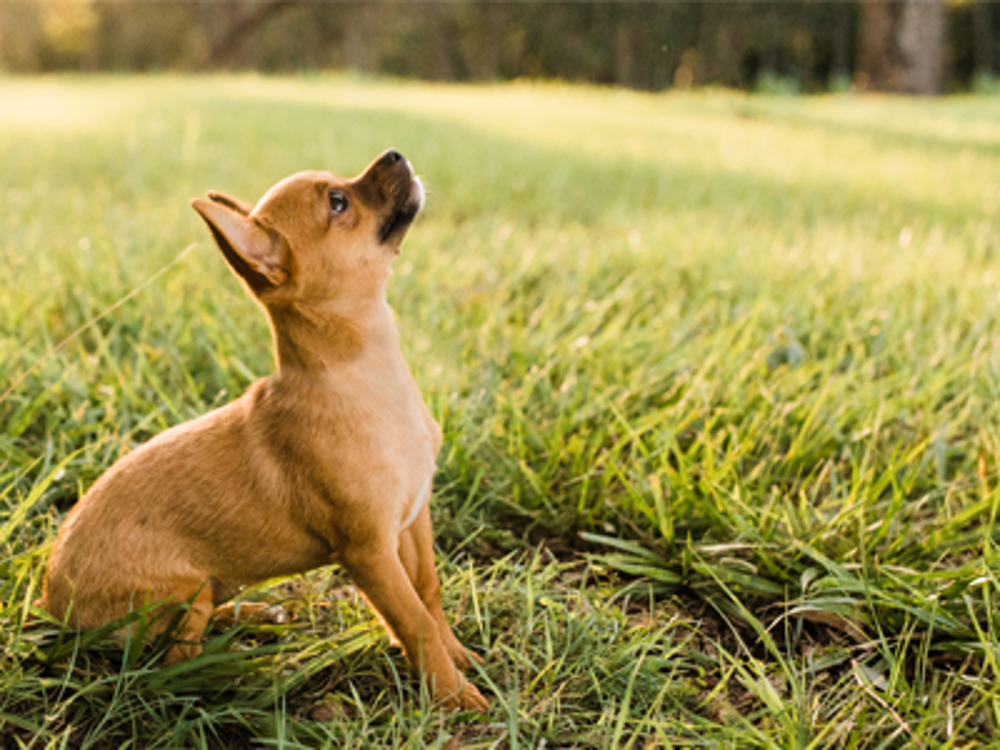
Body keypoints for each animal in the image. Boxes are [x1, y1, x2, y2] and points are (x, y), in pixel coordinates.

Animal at [38, 150, 488, 712]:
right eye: (337, 203)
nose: (394, 155)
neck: (367, 375)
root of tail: (50, 607)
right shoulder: (368, 551)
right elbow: (413, 621)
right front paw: (453, 696)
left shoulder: (412, 520)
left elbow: (428, 591)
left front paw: (457, 657)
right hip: (182, 592)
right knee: (171, 664)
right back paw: (226, 673)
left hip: (205, 588)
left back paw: (250, 616)